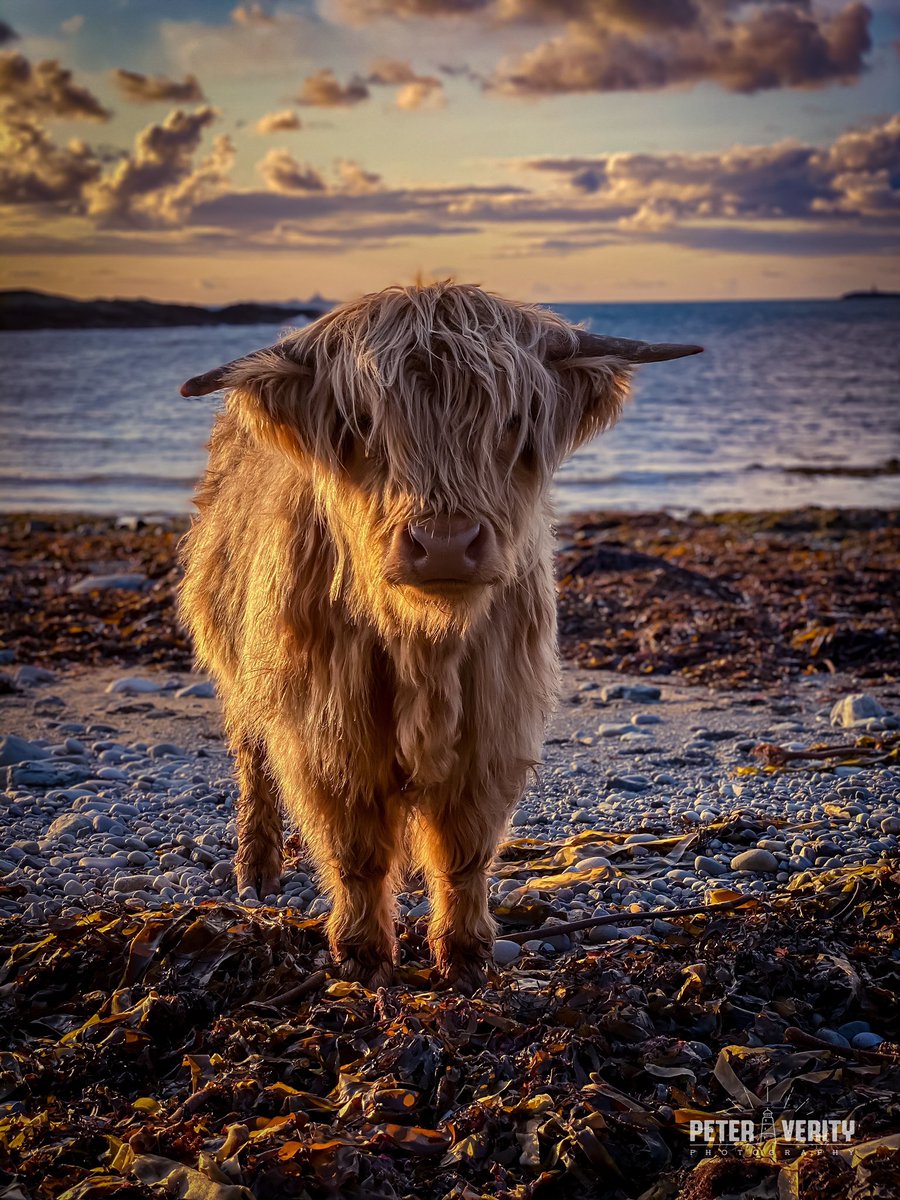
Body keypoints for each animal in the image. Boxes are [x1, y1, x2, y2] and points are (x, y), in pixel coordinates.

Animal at [174, 280, 696, 984]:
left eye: (513, 422)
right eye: (360, 424)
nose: (444, 544)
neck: (426, 644)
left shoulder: (495, 720)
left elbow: (464, 845)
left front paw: (467, 952)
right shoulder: (328, 724)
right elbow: (355, 845)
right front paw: (362, 952)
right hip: (239, 673)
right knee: (252, 761)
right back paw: (256, 871)